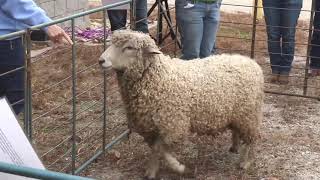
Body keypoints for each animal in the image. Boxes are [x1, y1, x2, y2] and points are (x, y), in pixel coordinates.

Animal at [99, 29, 264, 179]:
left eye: (129, 47)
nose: (101, 60)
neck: (159, 78)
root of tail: (251, 62)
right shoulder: (151, 127)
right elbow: (155, 149)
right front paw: (151, 171)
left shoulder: (174, 126)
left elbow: (161, 150)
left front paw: (181, 168)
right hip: (237, 114)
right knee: (237, 130)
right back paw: (235, 147)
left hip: (249, 113)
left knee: (253, 138)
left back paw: (246, 162)